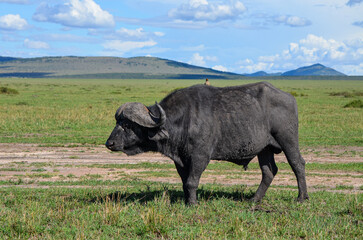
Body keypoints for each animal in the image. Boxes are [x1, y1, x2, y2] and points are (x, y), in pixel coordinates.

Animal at [105, 82, 310, 204]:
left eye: (127, 124)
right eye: (117, 121)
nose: (109, 143)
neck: (183, 119)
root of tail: (290, 98)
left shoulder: (200, 157)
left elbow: (192, 181)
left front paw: (193, 204)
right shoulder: (180, 160)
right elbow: (184, 181)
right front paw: (187, 201)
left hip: (288, 140)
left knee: (297, 164)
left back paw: (301, 197)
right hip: (264, 149)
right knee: (269, 171)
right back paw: (254, 199)